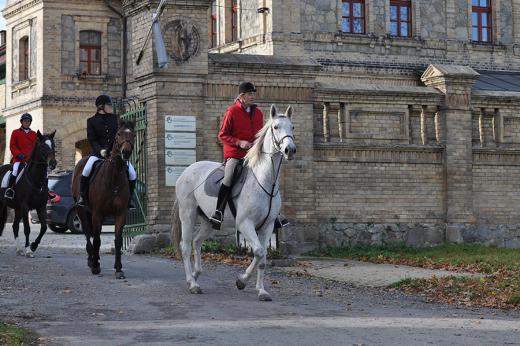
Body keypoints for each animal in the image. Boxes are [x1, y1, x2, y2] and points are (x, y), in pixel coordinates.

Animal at [72, 121, 135, 278]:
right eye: (118, 134)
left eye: (133, 135)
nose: (126, 152)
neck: (114, 177)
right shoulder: (97, 213)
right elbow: (97, 239)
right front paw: (95, 265)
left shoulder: (121, 214)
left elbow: (118, 240)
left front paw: (118, 269)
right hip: (81, 211)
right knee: (88, 233)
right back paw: (91, 259)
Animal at [172, 103, 296, 300]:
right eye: (276, 127)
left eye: (292, 127)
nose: (290, 150)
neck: (264, 181)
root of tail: (186, 171)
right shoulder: (245, 224)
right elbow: (259, 252)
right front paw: (242, 281)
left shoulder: (268, 225)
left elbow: (262, 258)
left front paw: (261, 291)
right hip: (188, 215)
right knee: (185, 246)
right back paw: (192, 284)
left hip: (209, 221)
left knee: (197, 242)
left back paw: (196, 274)